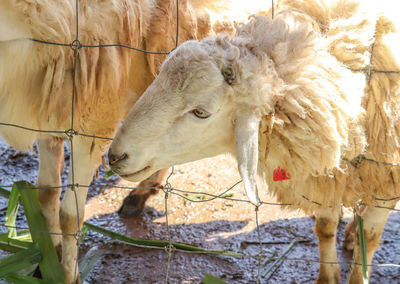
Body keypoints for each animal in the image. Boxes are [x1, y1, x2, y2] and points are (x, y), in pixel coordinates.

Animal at [0, 1, 272, 282]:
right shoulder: (47, 116)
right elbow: (46, 192)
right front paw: (49, 258)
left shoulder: (93, 120)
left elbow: (70, 216)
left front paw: (67, 274)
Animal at [108, 1, 400, 282]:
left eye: (201, 112)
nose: (114, 156)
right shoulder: (328, 174)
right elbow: (325, 228)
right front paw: (328, 276)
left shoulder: (383, 184)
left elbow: (368, 239)